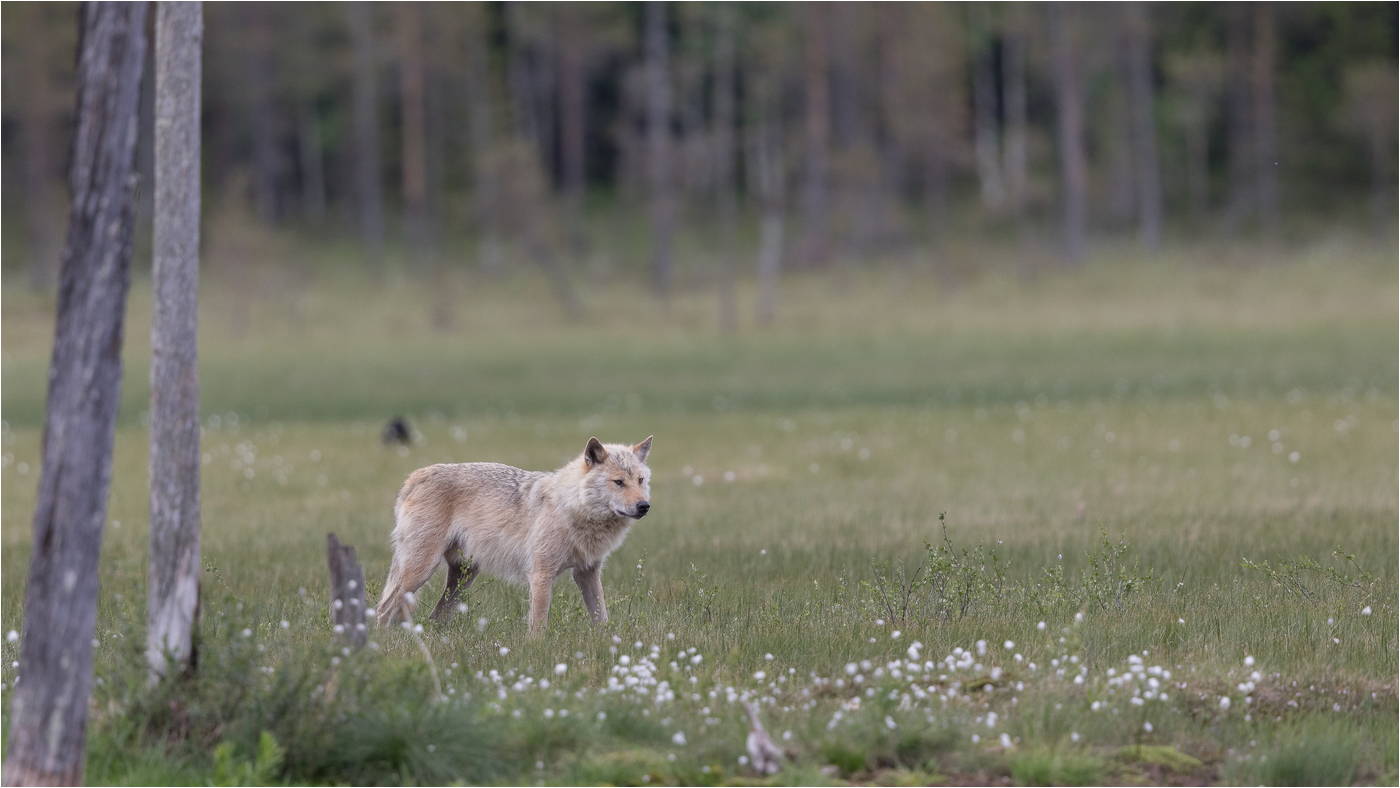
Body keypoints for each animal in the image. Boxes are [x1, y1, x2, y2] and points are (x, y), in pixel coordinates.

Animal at [375, 436, 652, 635]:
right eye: (618, 482)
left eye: (640, 480)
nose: (644, 506)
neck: (572, 508)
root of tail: (415, 476)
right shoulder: (540, 575)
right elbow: (538, 627)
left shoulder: (587, 573)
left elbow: (602, 619)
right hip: (421, 572)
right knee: (382, 610)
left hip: (464, 576)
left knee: (435, 617)